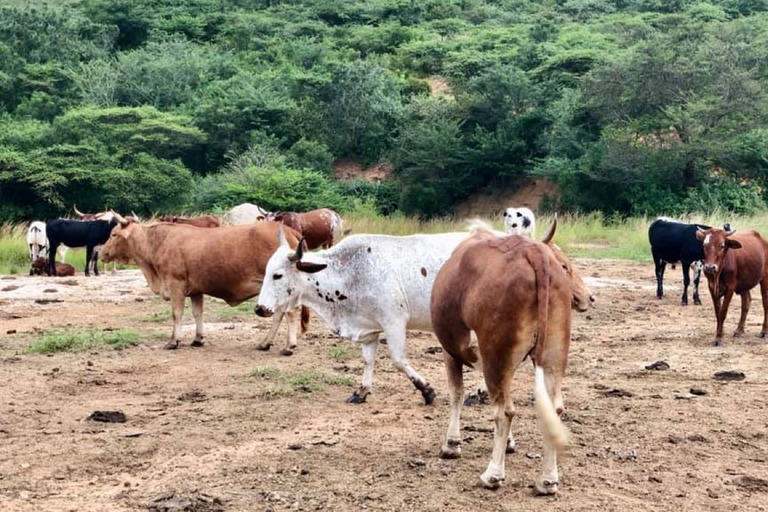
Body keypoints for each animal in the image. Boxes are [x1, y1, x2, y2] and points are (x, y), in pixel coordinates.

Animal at [100, 213, 308, 352]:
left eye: (113, 234)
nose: (102, 252)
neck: (158, 243)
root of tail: (290, 230)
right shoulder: (195, 290)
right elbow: (197, 313)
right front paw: (198, 339)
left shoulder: (175, 285)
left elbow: (177, 314)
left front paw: (173, 341)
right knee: (279, 314)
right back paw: (265, 343)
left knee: (289, 313)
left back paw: (289, 345)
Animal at [432, 219, 588, 492]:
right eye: (565, 265)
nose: (589, 297)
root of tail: (532, 251)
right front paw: (509, 444)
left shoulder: (450, 351)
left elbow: (456, 394)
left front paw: (451, 444)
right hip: (553, 353)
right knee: (553, 408)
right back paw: (548, 480)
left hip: (496, 353)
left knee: (504, 411)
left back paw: (492, 474)